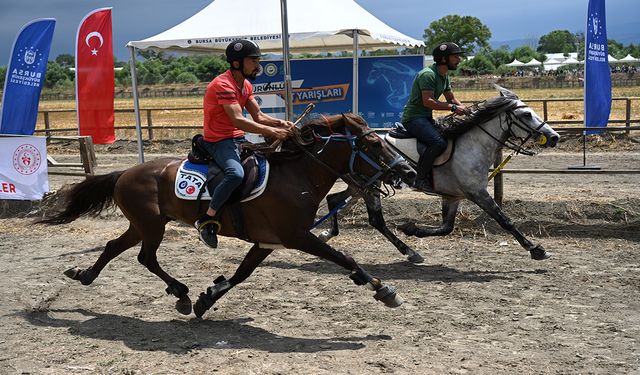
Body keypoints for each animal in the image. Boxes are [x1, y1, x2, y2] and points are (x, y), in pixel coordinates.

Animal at [37, 114, 416, 318]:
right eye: (374, 144)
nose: (408, 172)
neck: (297, 175)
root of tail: (125, 172)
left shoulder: (268, 242)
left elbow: (241, 274)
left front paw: (208, 298)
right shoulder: (296, 236)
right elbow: (345, 258)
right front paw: (384, 290)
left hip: (142, 224)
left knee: (115, 247)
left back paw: (86, 275)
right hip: (150, 225)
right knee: (145, 257)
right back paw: (179, 290)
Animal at [320, 85, 560, 262]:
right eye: (527, 114)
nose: (554, 137)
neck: (472, 146)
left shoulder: (452, 197)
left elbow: (446, 228)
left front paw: (412, 229)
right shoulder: (477, 193)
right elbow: (505, 220)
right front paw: (536, 249)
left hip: (360, 185)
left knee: (334, 200)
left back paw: (327, 234)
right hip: (369, 186)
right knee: (375, 220)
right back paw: (410, 253)